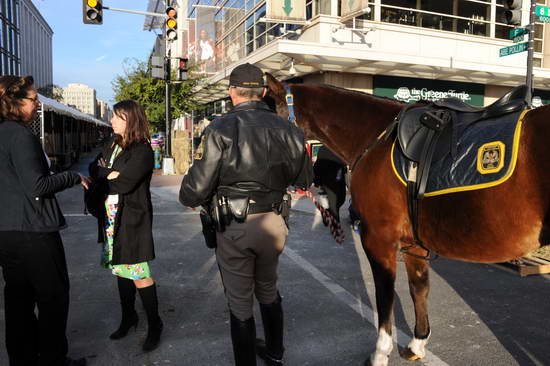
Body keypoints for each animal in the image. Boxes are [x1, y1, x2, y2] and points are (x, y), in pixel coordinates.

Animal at [268, 74, 550, 366]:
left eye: (268, 118)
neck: (376, 137)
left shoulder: (378, 239)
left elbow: (385, 296)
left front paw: (381, 352)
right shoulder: (413, 243)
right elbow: (419, 288)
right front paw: (417, 343)